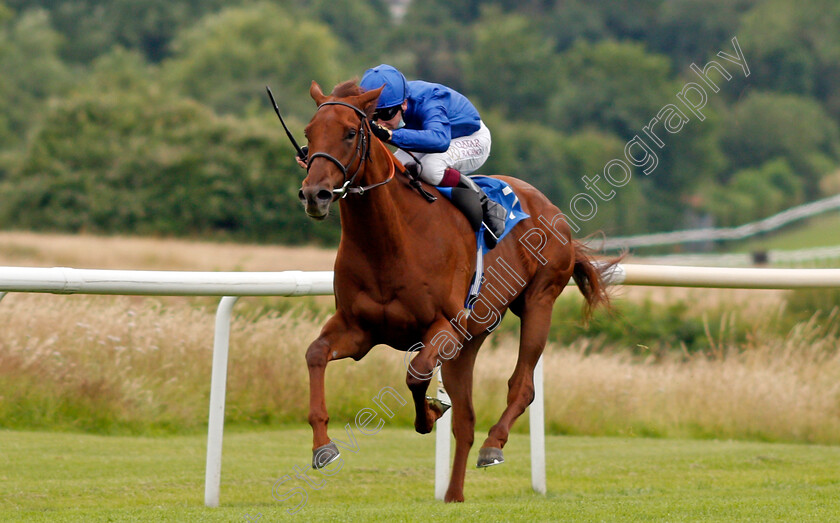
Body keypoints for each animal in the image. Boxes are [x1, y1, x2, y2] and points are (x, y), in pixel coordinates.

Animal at [300, 80, 612, 502]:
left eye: (350, 132)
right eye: (308, 134)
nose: (314, 194)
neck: (389, 239)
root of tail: (549, 208)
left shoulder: (442, 326)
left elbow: (416, 374)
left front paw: (430, 413)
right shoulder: (358, 328)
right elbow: (316, 354)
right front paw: (323, 446)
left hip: (539, 302)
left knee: (522, 387)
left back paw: (493, 446)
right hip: (471, 339)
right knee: (466, 419)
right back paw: (453, 494)